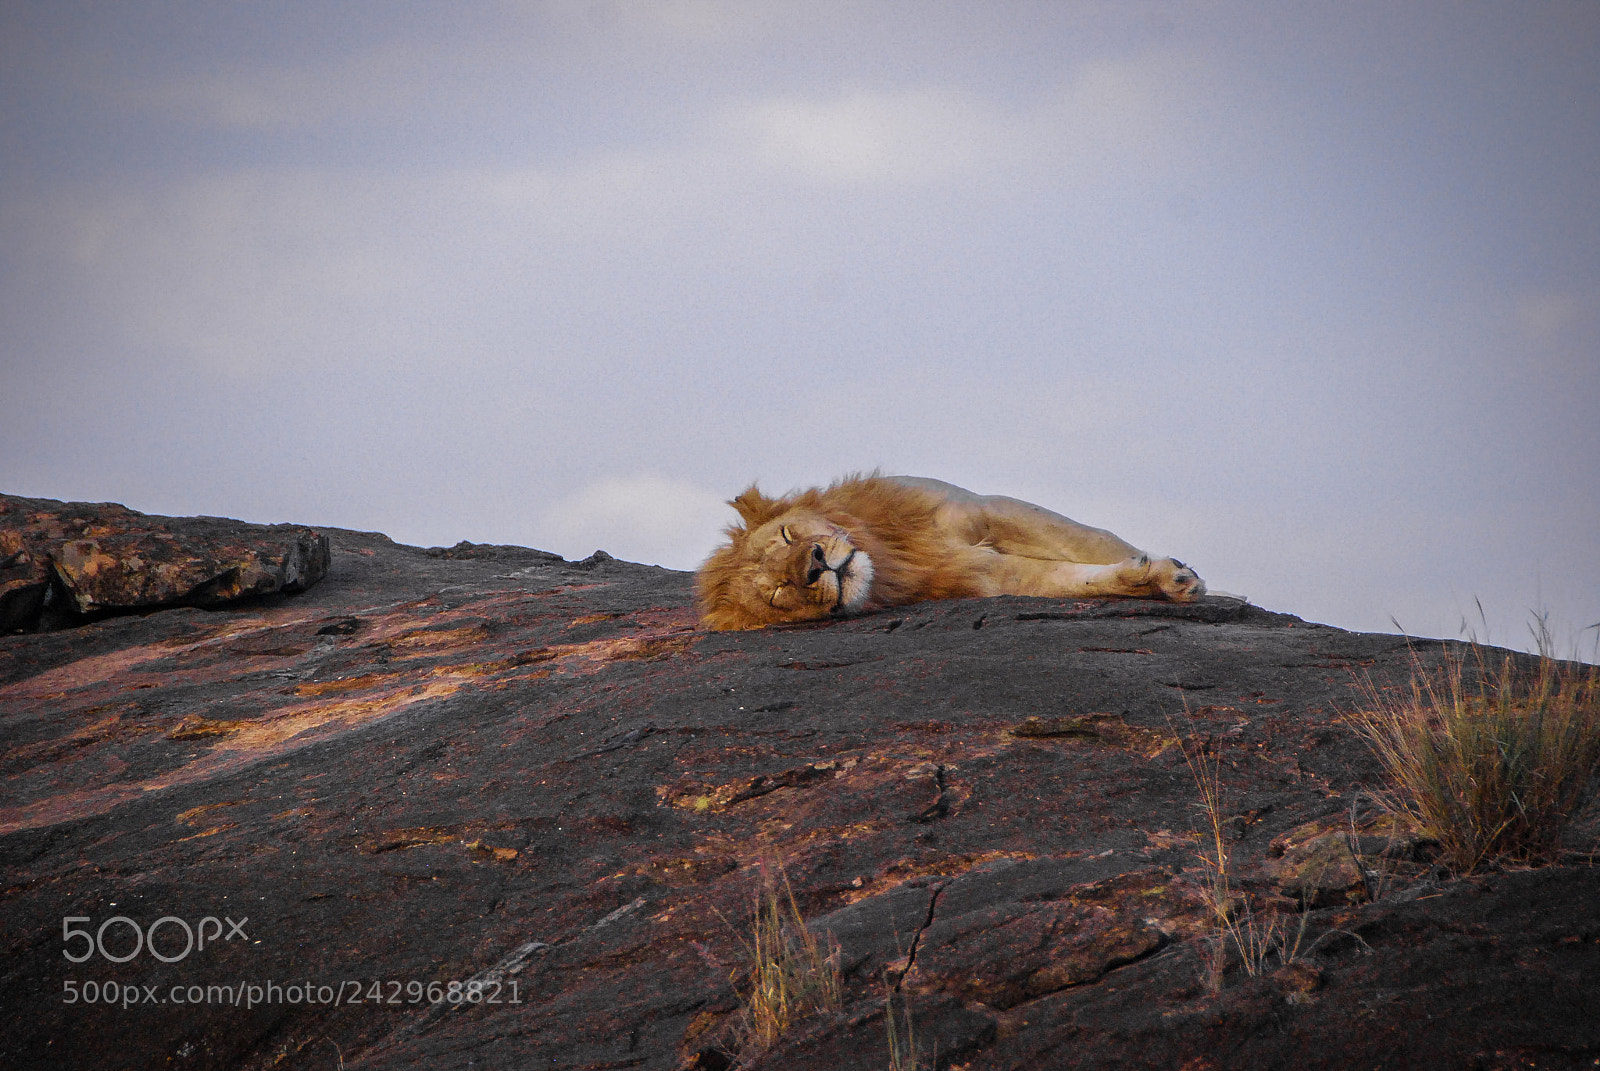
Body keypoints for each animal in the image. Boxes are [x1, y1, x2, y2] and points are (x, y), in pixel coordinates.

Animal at [695, 474, 1205, 630]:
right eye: (778, 592)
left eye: (787, 535)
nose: (815, 562)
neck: (899, 556)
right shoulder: (986, 576)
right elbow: (1064, 580)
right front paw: (1156, 580)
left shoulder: (988, 510)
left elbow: (1094, 541)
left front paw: (1178, 577)